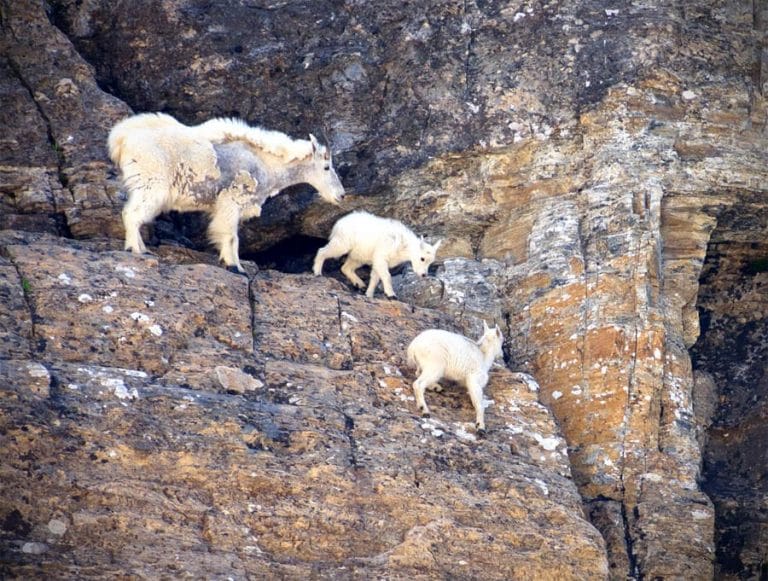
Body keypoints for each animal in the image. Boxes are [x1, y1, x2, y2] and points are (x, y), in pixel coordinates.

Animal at [108, 112, 344, 274]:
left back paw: (143, 248)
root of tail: (121, 138)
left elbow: (227, 234)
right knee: (132, 214)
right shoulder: (232, 201)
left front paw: (229, 262)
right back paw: (135, 249)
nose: (341, 195)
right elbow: (232, 236)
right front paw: (235, 266)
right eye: (326, 167)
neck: (266, 164)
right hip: (152, 185)